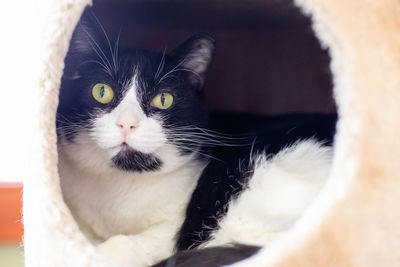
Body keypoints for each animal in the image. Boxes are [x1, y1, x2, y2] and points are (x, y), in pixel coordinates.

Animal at [57, 8, 334, 267]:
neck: (121, 183)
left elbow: (124, 245)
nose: (127, 123)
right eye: (101, 91)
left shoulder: (169, 232)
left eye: (163, 99)